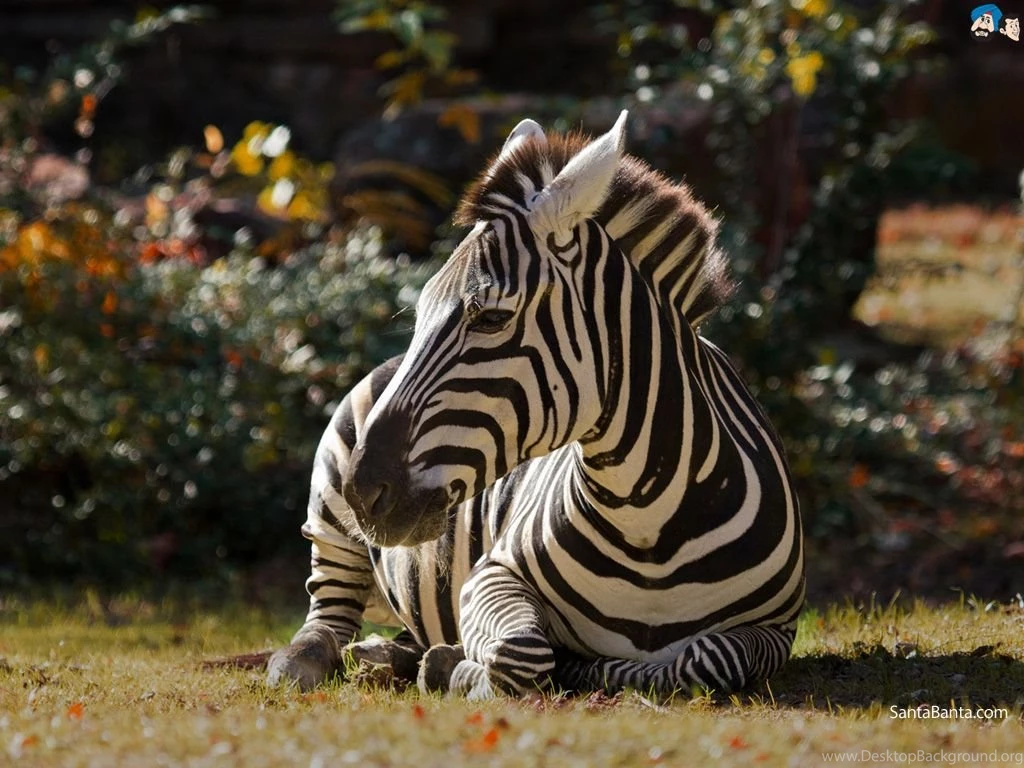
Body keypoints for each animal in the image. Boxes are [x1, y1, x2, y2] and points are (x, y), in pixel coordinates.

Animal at [267, 111, 805, 698]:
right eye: (420, 312)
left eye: (491, 318)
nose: (363, 493)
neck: (648, 523)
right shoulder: (491, 575)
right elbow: (523, 650)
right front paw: (464, 669)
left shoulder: (776, 627)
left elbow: (707, 658)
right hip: (329, 513)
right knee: (326, 611)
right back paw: (308, 661)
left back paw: (391, 655)